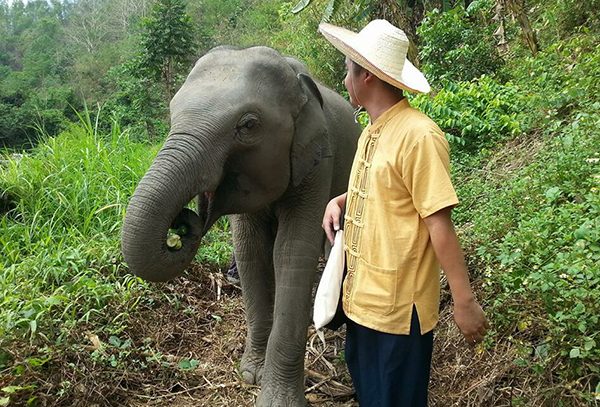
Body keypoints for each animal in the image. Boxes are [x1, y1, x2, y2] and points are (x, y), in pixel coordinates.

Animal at [119, 46, 358, 406]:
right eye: (173, 114)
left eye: (248, 125)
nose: (182, 225)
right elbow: (252, 253)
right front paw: (250, 375)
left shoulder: (318, 162)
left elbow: (291, 254)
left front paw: (277, 400)